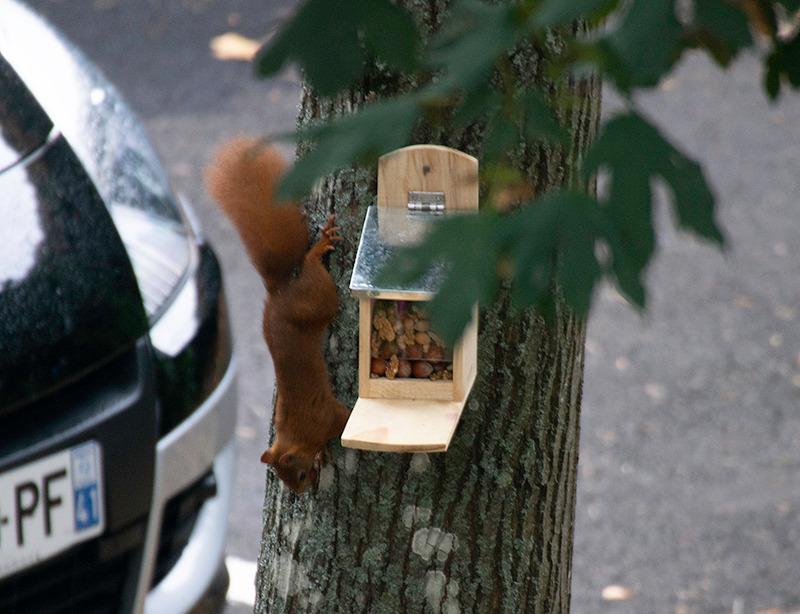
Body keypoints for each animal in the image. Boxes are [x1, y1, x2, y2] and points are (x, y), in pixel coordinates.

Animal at [206, 137, 349, 494]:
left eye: (297, 475)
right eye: (286, 479)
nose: (302, 492)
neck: (297, 436)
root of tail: (279, 295)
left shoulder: (325, 417)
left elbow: (344, 417)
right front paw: (323, 454)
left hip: (319, 299)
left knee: (312, 268)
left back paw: (319, 247)